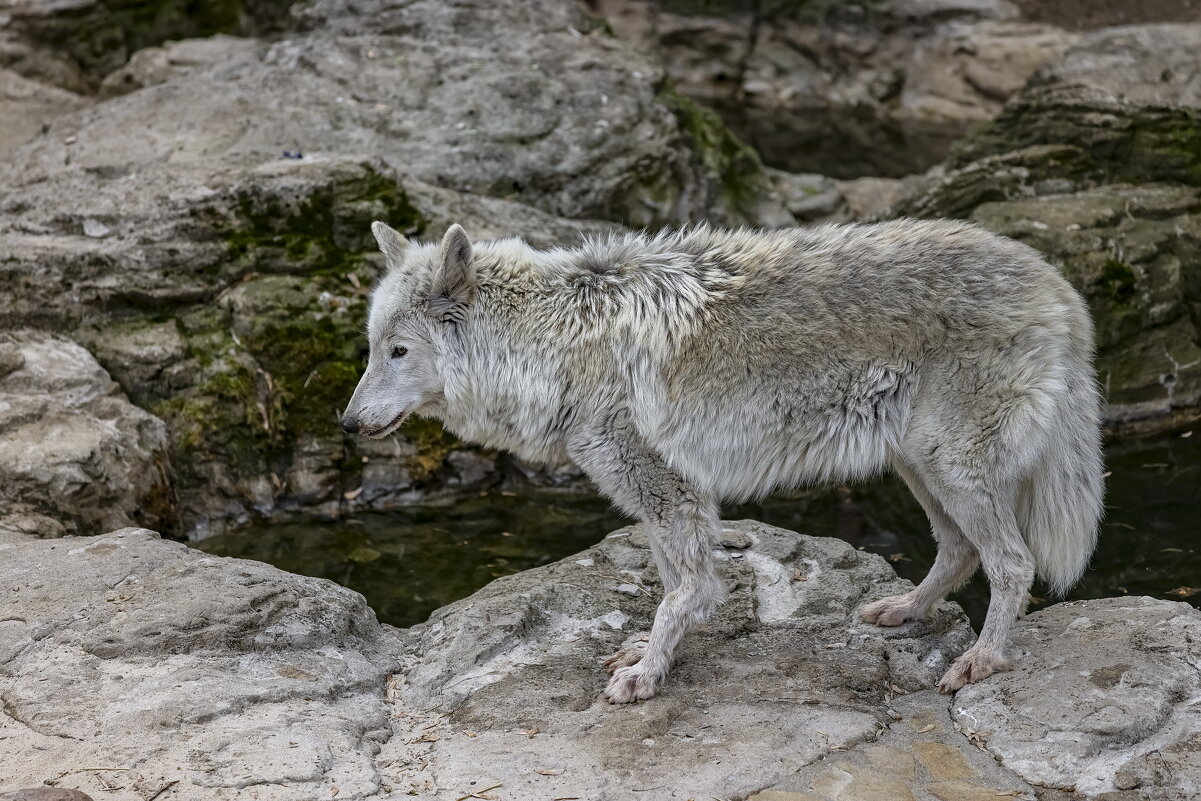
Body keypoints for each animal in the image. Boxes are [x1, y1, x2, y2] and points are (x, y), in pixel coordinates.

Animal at [341, 219, 1104, 701]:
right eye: (373, 348)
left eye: (397, 352)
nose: (346, 424)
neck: (553, 345)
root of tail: (1059, 286)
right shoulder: (657, 496)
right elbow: (674, 581)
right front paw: (649, 652)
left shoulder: (668, 488)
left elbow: (687, 590)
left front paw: (648, 674)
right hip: (919, 465)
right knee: (960, 550)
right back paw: (904, 610)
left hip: (950, 466)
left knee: (1013, 563)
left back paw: (982, 660)